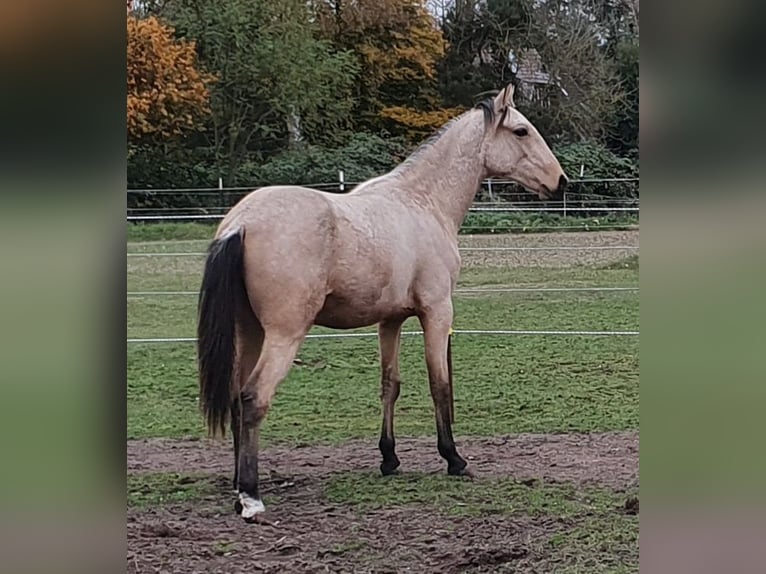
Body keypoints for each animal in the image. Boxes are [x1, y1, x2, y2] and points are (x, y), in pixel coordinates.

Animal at [198, 84, 568, 520]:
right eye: (521, 131)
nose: (560, 181)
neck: (423, 202)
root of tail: (240, 222)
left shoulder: (390, 320)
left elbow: (390, 385)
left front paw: (389, 458)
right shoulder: (437, 312)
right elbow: (439, 384)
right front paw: (454, 458)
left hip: (249, 332)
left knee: (236, 400)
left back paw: (238, 487)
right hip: (283, 335)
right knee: (254, 398)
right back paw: (251, 497)